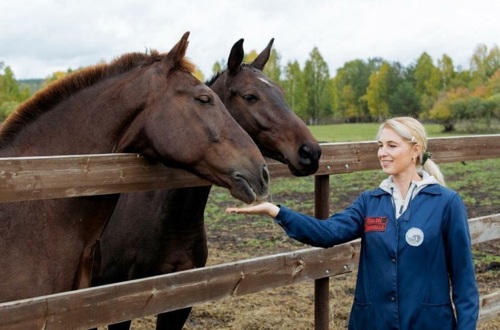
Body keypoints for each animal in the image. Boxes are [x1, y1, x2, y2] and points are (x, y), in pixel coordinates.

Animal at [92, 38, 322, 328]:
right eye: (250, 96)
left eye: (281, 92)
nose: (310, 152)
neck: (168, 219)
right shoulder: (120, 304)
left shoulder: (179, 303)